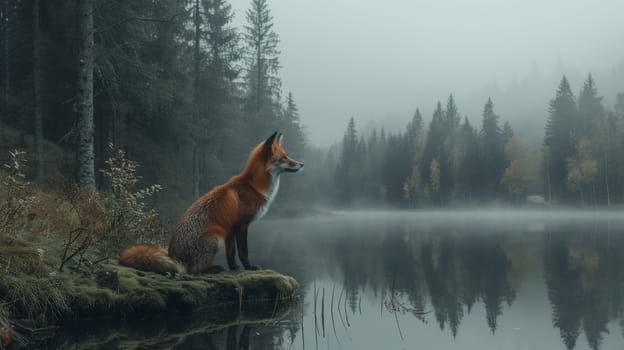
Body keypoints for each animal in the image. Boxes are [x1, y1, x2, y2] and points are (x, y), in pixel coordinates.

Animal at [120, 133, 304, 274]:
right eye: (284, 158)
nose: (302, 164)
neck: (254, 185)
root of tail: (173, 255)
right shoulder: (242, 224)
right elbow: (243, 251)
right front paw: (249, 267)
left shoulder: (230, 227)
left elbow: (231, 253)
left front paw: (234, 268)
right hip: (215, 238)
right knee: (192, 271)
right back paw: (213, 269)